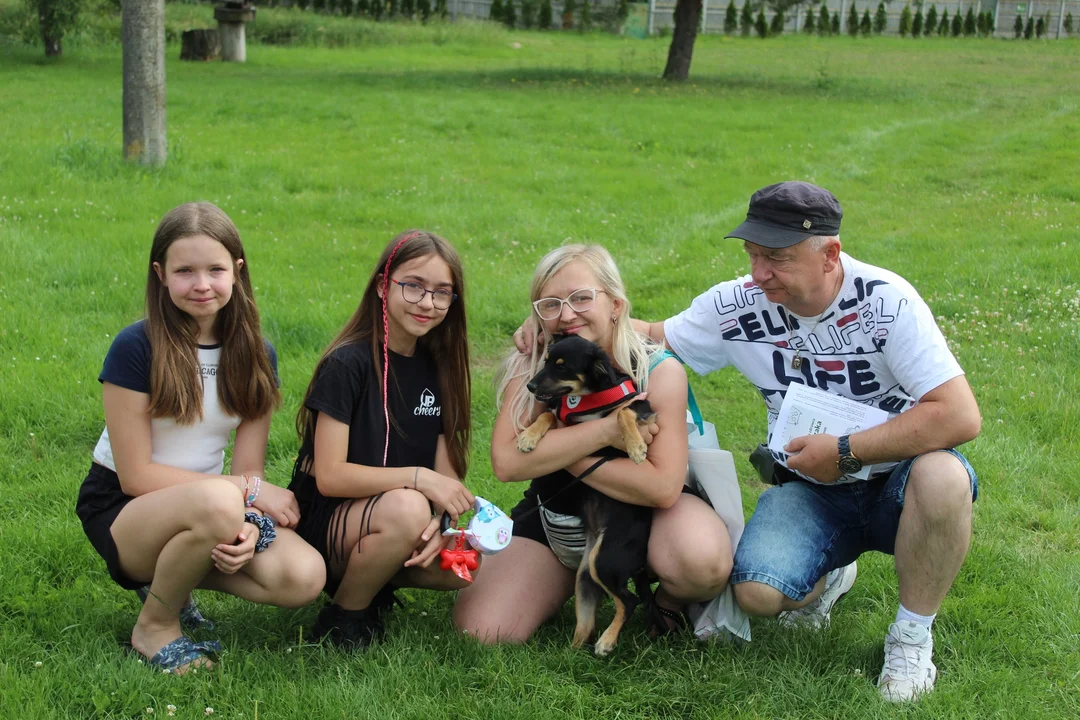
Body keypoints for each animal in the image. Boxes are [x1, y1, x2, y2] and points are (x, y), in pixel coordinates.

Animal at [516, 334, 656, 656]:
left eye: (562, 366)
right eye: (545, 361)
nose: (530, 386)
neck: (590, 396)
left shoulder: (643, 405)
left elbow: (624, 412)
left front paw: (635, 447)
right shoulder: (560, 418)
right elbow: (547, 417)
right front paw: (528, 437)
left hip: (605, 559)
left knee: (629, 600)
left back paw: (607, 641)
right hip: (585, 576)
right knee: (585, 626)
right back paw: (569, 656)